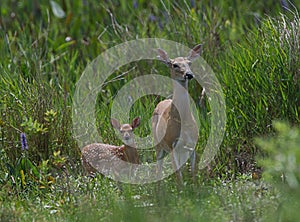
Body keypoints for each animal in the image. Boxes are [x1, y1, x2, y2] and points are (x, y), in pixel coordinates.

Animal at [152, 44, 202, 184]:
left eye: (189, 63)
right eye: (175, 65)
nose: (189, 74)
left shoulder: (192, 145)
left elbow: (193, 174)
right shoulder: (171, 145)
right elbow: (179, 178)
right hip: (158, 144)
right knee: (158, 172)